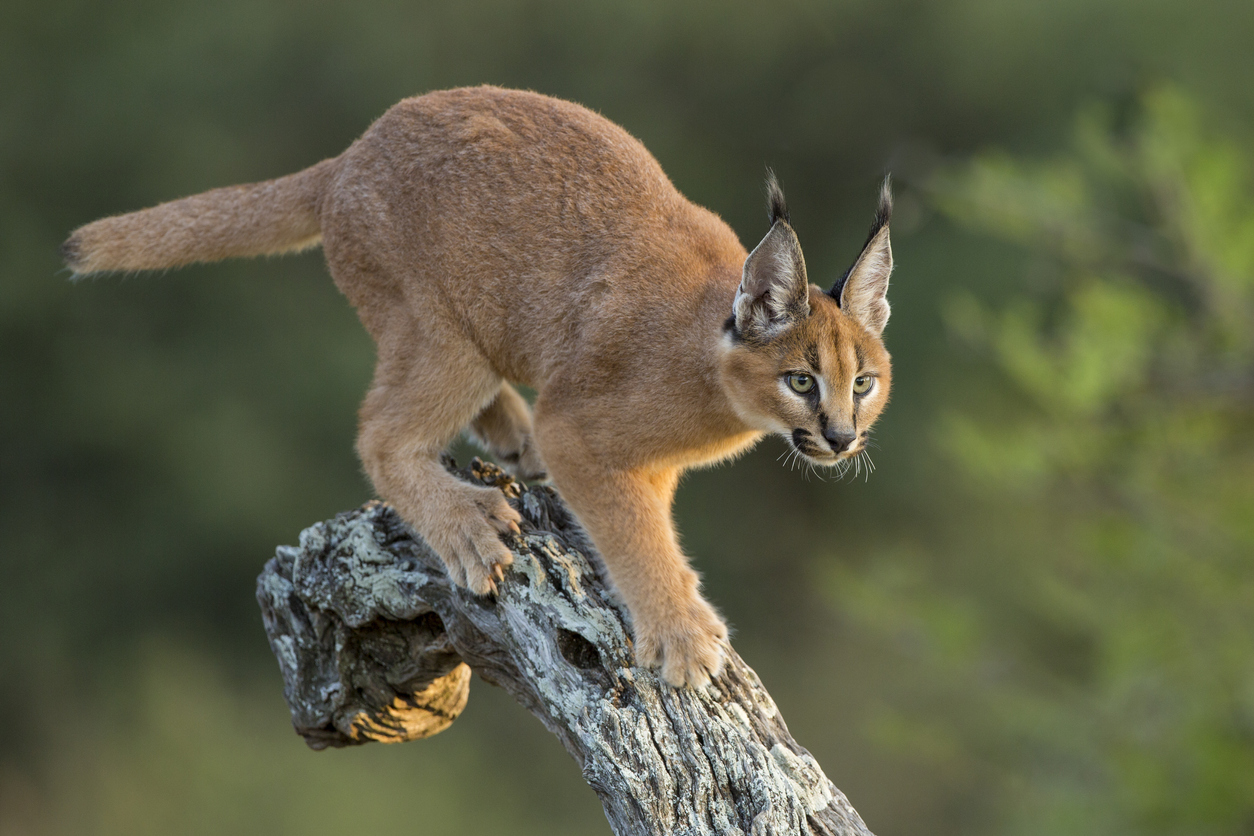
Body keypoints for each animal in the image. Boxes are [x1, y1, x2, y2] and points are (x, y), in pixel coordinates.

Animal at [63, 86, 892, 686]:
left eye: (865, 384)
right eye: (800, 380)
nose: (842, 437)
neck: (711, 368)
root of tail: (349, 154)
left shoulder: (645, 465)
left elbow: (649, 521)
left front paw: (684, 603)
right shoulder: (580, 429)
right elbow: (630, 531)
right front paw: (682, 636)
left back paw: (511, 440)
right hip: (441, 332)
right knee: (379, 432)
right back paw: (466, 520)